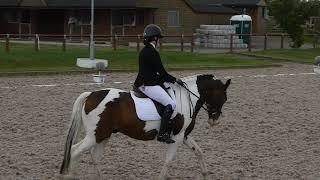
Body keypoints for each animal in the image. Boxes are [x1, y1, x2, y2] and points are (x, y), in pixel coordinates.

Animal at [59, 74, 230, 179]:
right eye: (222, 97)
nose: (214, 121)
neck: (188, 98)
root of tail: (90, 95)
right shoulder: (177, 137)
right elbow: (168, 160)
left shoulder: (184, 135)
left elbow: (199, 152)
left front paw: (205, 174)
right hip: (95, 135)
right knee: (75, 150)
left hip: (103, 135)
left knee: (94, 157)